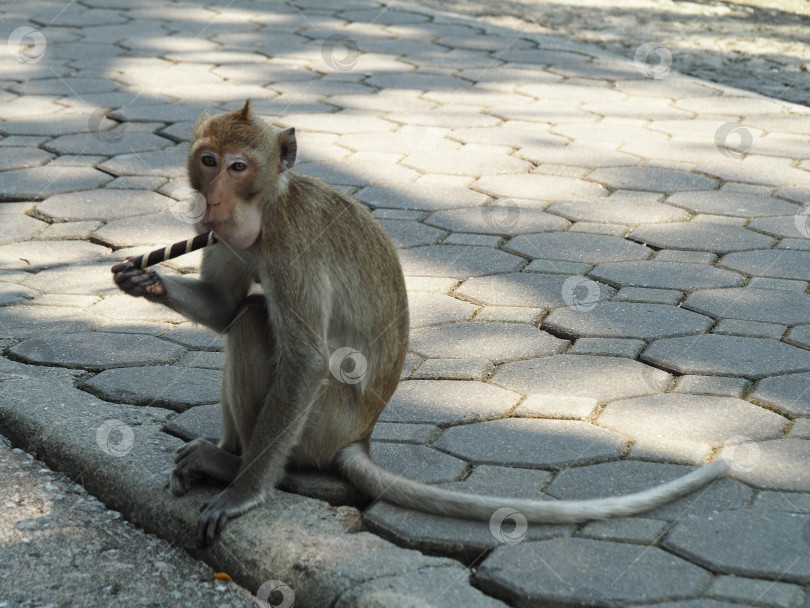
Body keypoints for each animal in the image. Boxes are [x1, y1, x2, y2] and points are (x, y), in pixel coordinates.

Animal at [110, 100, 724, 548]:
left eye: (239, 166)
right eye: (208, 160)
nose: (213, 198)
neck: (265, 210)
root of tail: (360, 436)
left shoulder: (289, 248)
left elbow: (303, 359)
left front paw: (243, 496)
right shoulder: (225, 237)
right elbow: (219, 304)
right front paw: (141, 280)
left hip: (322, 423)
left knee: (258, 322)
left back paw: (234, 466)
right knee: (244, 317)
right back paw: (223, 456)